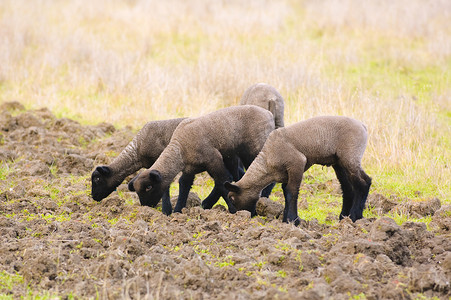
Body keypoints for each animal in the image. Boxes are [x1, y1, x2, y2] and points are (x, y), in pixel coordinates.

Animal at [130, 105, 276, 213]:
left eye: (149, 187)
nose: (146, 207)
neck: (180, 149)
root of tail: (268, 114)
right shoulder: (189, 169)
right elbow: (184, 186)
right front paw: (178, 211)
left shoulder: (213, 160)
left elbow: (223, 181)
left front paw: (234, 211)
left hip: (253, 149)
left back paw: (263, 197)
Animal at [224, 116, 372, 224]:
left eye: (232, 198)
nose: (236, 215)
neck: (267, 162)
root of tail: (363, 126)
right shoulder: (286, 174)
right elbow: (285, 192)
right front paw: (286, 219)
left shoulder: (297, 163)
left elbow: (291, 192)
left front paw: (293, 220)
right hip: (339, 162)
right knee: (347, 189)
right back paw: (343, 217)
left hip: (350, 156)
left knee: (364, 182)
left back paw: (355, 217)